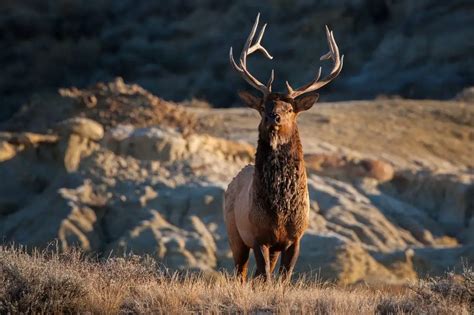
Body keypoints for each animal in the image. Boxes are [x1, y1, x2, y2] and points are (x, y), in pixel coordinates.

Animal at [224, 13, 342, 282]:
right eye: (262, 107)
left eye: (289, 109)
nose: (273, 117)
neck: (280, 211)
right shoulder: (258, 234)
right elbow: (266, 276)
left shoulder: (295, 237)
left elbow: (283, 278)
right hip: (234, 233)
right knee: (241, 272)